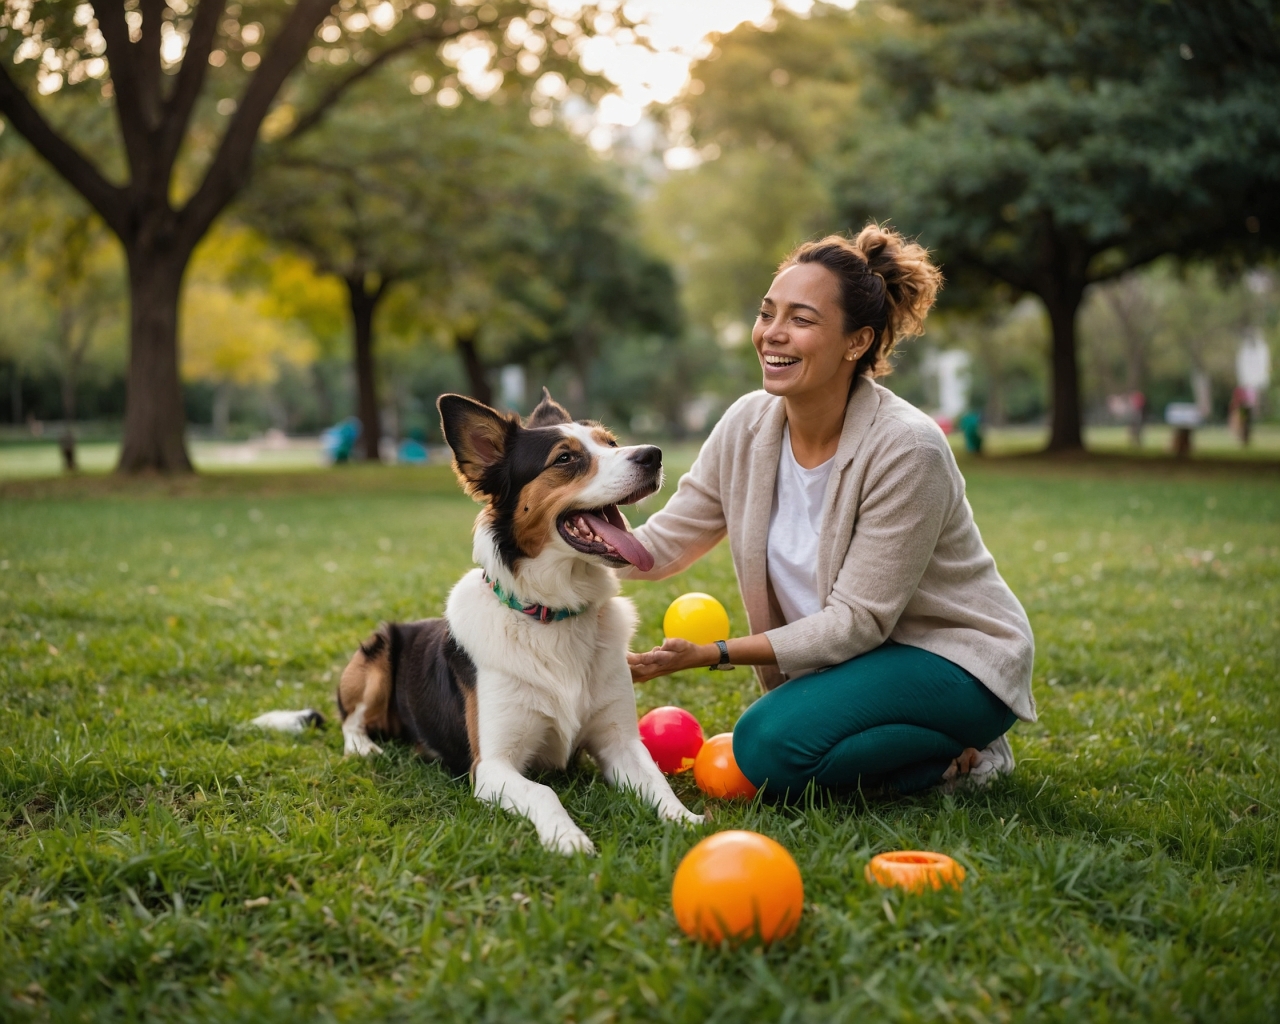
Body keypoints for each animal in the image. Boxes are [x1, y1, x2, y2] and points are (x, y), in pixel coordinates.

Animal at [257, 391, 701, 855]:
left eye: (610, 443)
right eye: (565, 458)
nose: (653, 455)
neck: (551, 614)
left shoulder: (619, 743)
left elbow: (657, 780)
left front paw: (686, 821)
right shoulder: (491, 767)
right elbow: (545, 792)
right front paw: (568, 839)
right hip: (377, 651)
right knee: (350, 721)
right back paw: (365, 748)